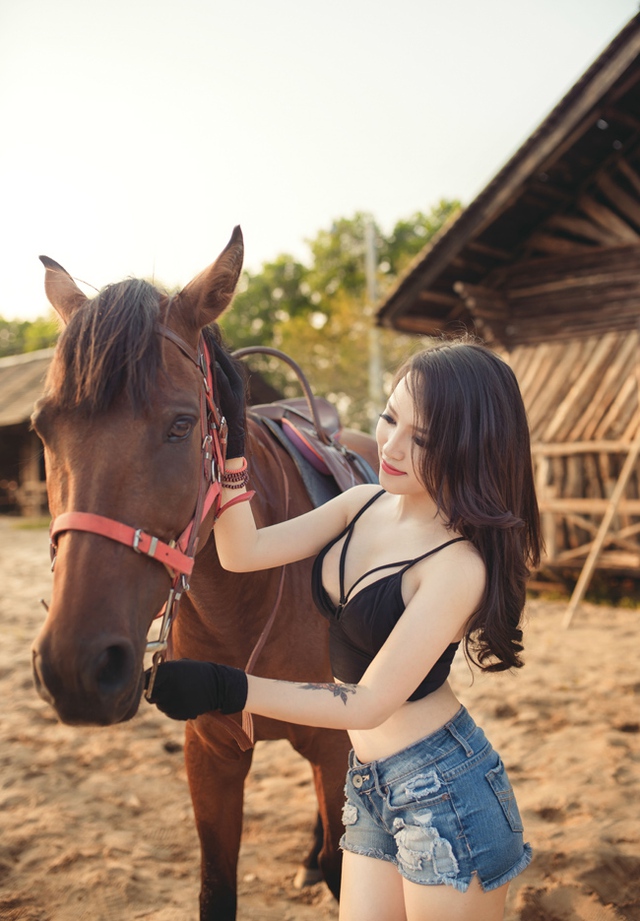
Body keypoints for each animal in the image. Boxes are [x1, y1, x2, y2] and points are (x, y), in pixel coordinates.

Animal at [30, 228, 378, 920]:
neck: (249, 593)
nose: (76, 668)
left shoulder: (332, 744)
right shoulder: (209, 753)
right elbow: (217, 889)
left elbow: (342, 865)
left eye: (181, 424)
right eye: (42, 428)